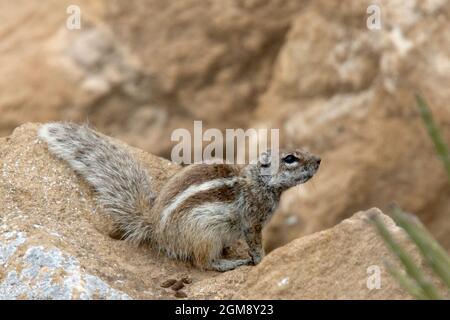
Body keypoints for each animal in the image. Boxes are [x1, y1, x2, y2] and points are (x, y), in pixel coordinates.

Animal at [38, 122, 320, 270]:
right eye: (290, 158)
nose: (319, 159)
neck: (258, 181)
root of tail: (156, 229)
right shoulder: (252, 220)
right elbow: (254, 241)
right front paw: (260, 259)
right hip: (206, 235)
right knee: (203, 262)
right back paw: (230, 262)